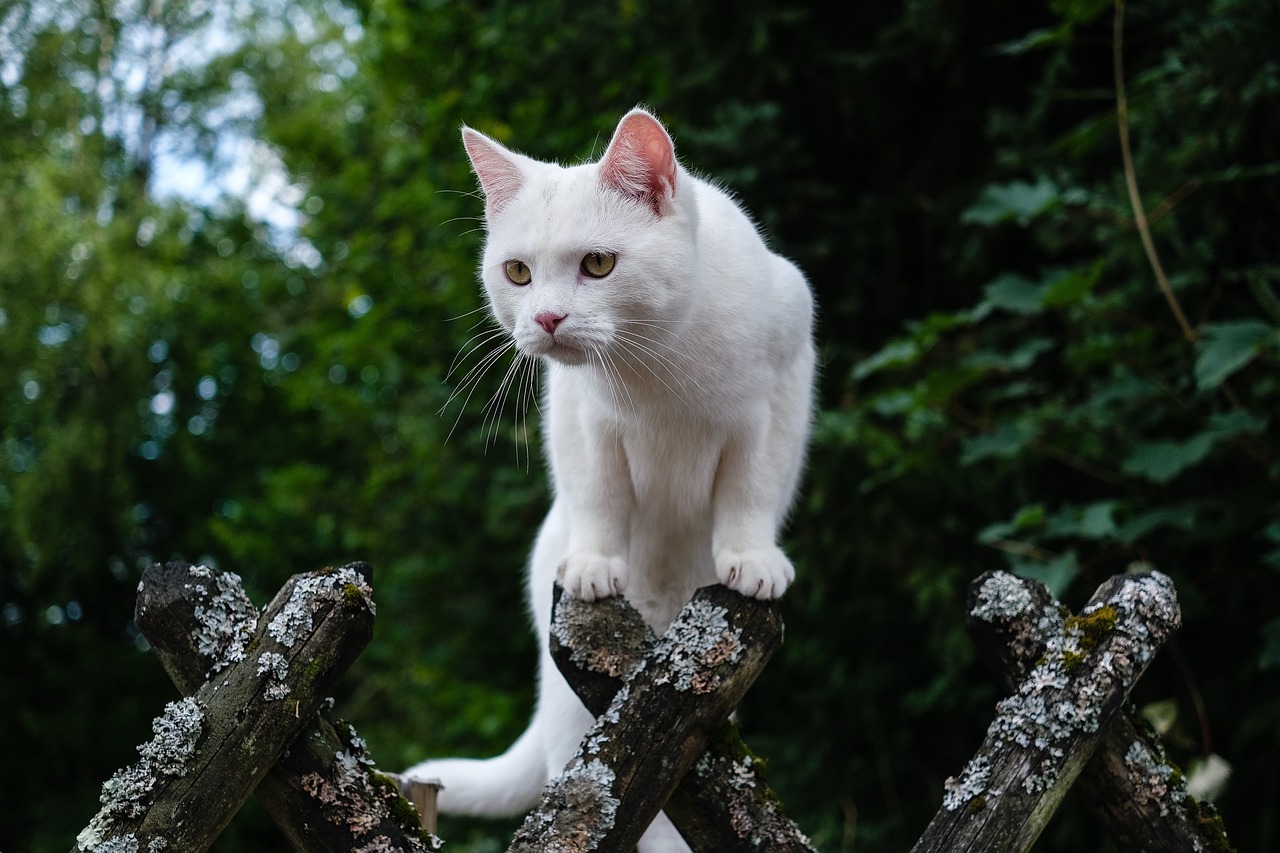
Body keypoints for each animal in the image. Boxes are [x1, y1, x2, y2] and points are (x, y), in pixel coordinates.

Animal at [404, 109, 814, 845]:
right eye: (518, 272)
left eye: (598, 264)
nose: (545, 317)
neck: (660, 368)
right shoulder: (582, 418)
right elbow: (598, 494)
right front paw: (595, 564)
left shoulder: (779, 398)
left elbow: (752, 489)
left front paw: (752, 559)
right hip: (579, 718)